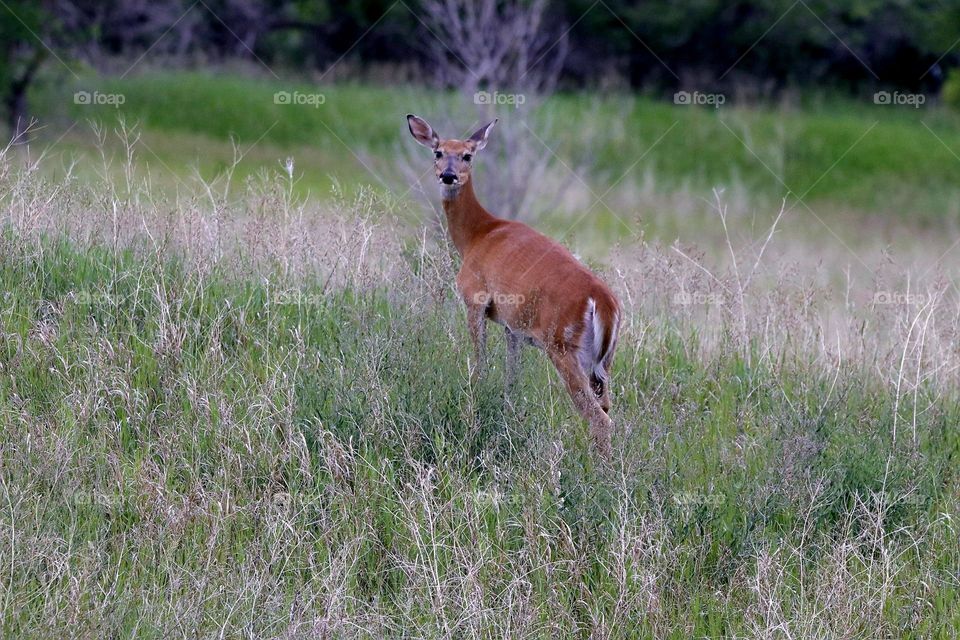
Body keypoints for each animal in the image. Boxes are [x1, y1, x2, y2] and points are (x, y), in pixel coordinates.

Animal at [404, 114, 624, 456]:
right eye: (438, 152)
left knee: (599, 418)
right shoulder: (513, 328)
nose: (448, 175)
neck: (477, 235)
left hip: (564, 346)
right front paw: (507, 414)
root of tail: (604, 302)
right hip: (604, 362)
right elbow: (512, 378)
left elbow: (480, 362)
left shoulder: (475, 298)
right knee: (607, 407)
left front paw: (476, 400)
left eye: (467, 155)